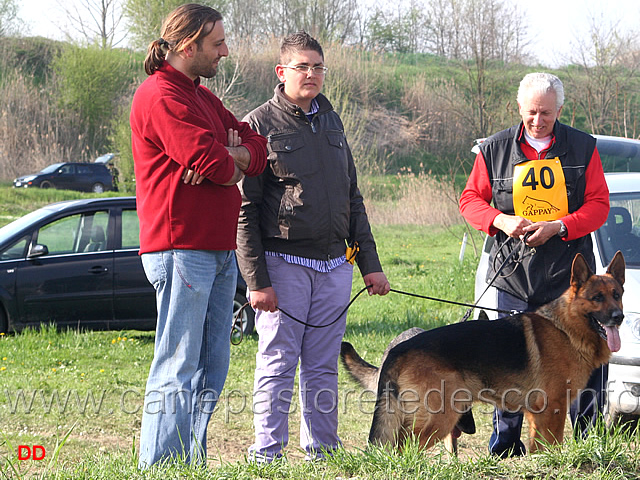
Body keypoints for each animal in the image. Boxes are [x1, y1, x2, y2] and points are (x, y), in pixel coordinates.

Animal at [340, 251, 624, 454]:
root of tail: (399, 348)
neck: (566, 327)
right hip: (439, 417)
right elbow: (553, 445)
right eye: (597, 298)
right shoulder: (553, 410)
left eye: (617, 294)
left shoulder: (537, 415)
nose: (619, 317)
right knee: (406, 447)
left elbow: (539, 449)